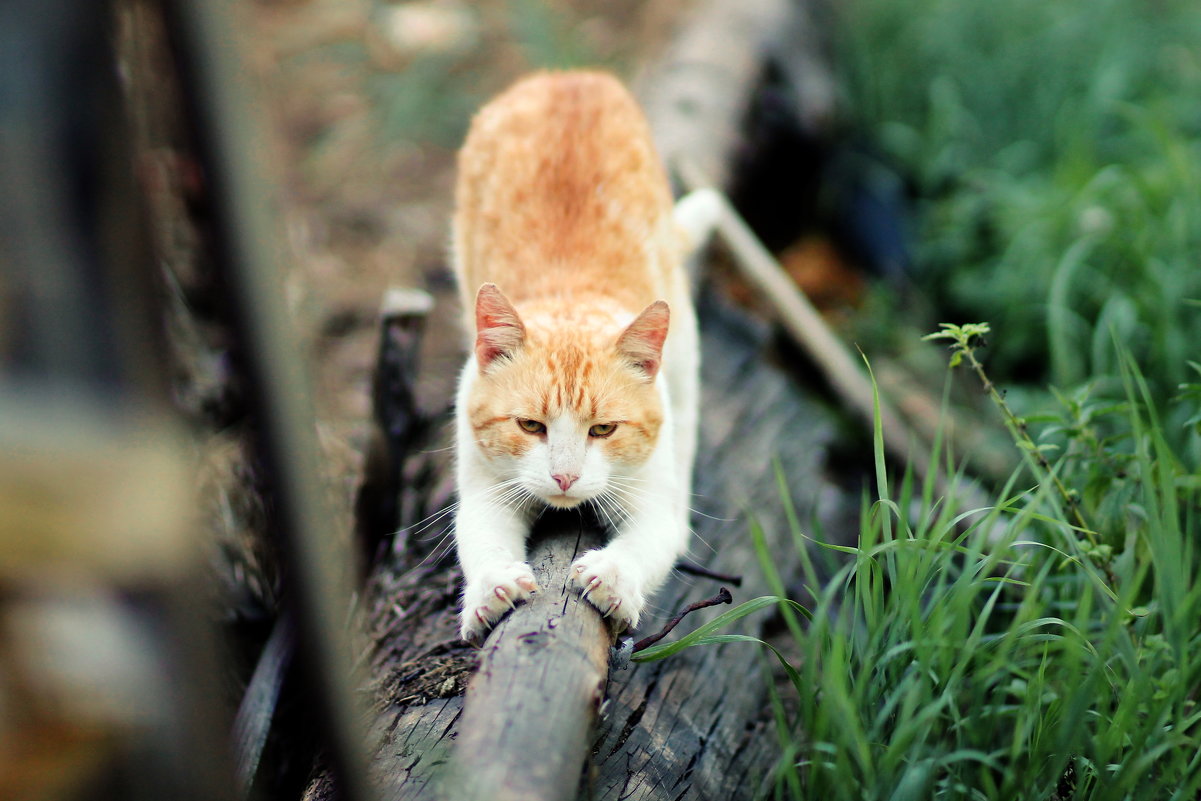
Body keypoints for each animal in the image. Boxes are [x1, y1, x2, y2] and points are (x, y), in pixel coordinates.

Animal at [449, 70, 710, 643]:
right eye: (530, 425)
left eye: (603, 430)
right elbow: (481, 540)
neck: (570, 297)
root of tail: (570, 75)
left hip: (683, 343)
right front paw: (493, 586)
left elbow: (648, 542)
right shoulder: (483, 489)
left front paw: (612, 576)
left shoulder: (652, 503)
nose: (565, 479)